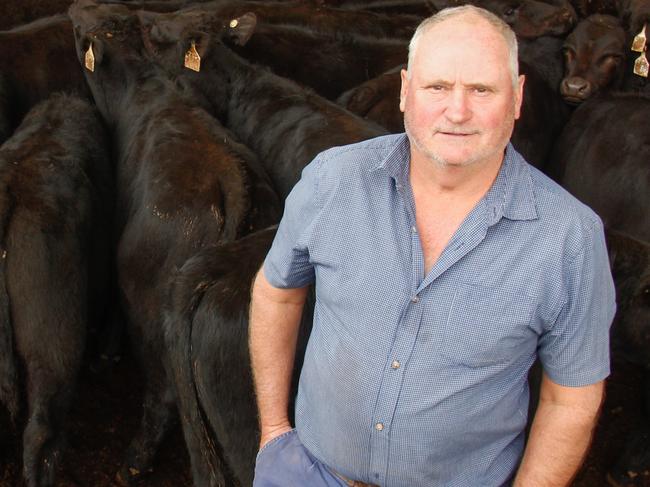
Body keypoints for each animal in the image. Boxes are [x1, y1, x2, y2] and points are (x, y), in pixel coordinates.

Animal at [67, 1, 278, 484]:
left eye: (81, 28)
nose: (71, 8)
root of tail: (233, 179)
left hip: (150, 310)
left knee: (163, 391)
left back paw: (133, 461)